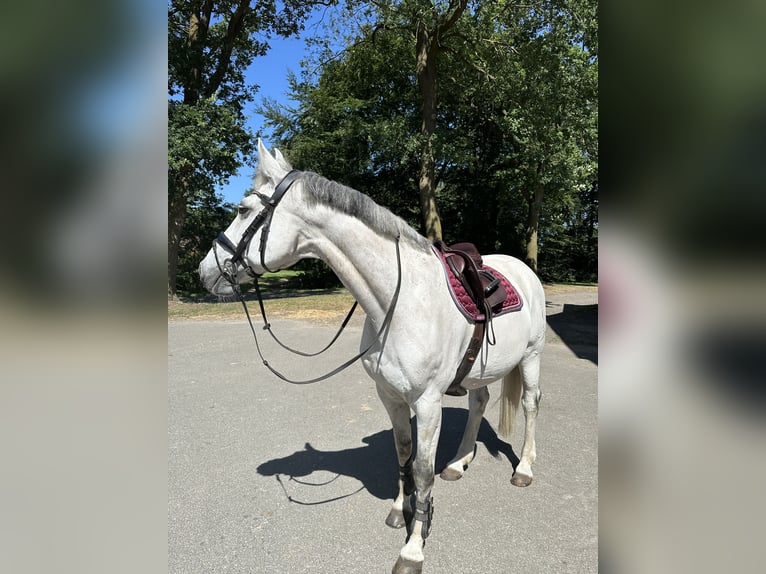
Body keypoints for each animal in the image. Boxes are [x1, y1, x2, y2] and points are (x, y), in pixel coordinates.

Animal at [198, 141, 546, 574]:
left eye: (243, 209)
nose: (204, 271)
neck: (399, 303)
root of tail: (523, 269)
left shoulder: (427, 403)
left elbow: (422, 472)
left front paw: (414, 547)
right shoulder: (390, 396)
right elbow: (403, 454)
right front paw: (400, 511)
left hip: (531, 357)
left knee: (530, 405)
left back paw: (525, 470)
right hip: (475, 373)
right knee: (479, 402)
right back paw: (458, 463)